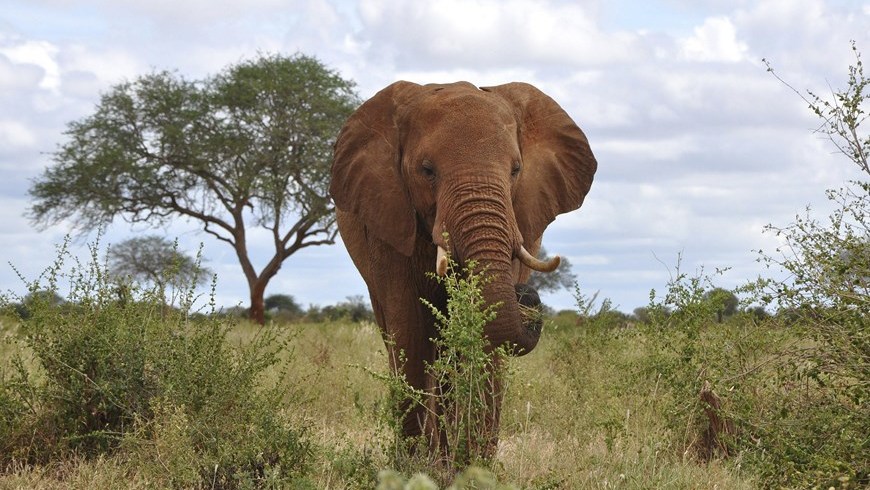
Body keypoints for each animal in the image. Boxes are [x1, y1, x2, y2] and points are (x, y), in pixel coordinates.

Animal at [329, 81, 597, 455]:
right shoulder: (387, 220)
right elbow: (411, 329)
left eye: (516, 170)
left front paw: (472, 462)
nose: (526, 294)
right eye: (427, 171)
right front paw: (417, 463)